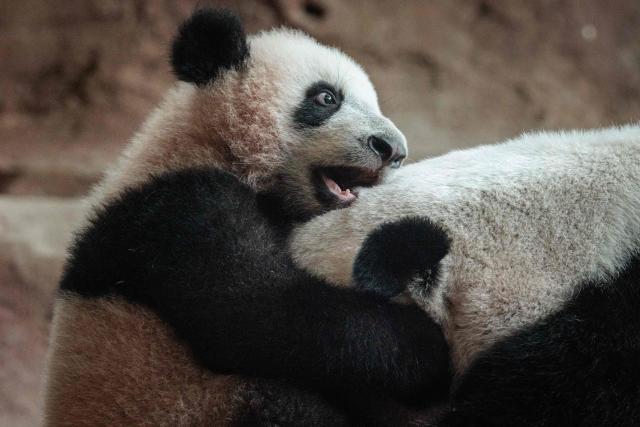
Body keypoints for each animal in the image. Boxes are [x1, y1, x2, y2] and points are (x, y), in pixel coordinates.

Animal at [44, 8, 450, 427]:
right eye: (326, 98)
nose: (392, 149)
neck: (211, 145)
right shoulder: (179, 210)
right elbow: (261, 315)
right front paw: (424, 347)